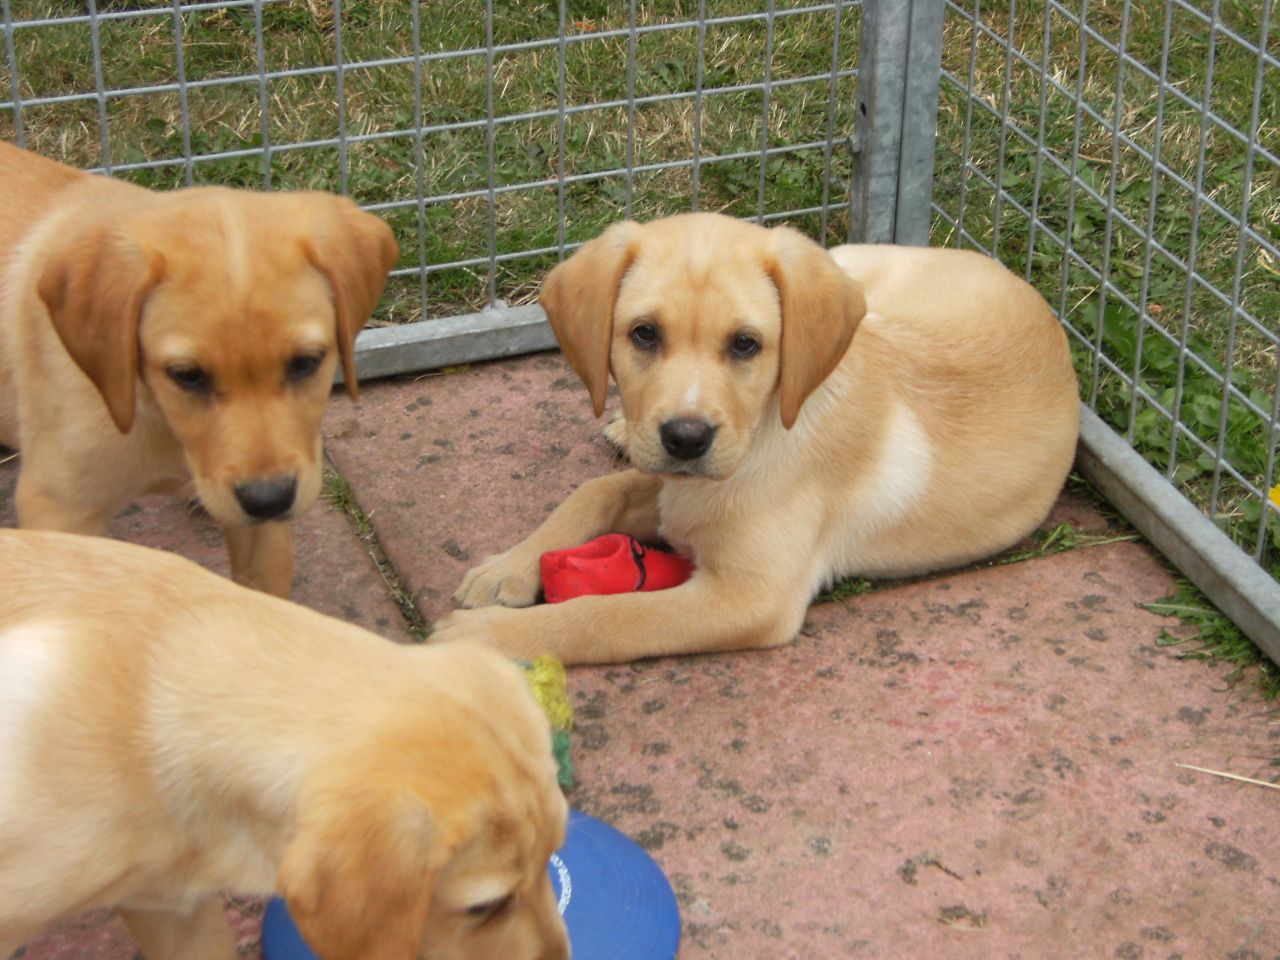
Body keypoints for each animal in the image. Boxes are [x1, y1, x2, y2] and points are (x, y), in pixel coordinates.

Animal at [0, 142, 396, 599]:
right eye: (187, 375)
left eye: (306, 362)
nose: (268, 499)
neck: (163, 423)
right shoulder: (58, 507)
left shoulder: (263, 522)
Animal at [437, 216, 1080, 670]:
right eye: (644, 334)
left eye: (746, 344)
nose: (686, 438)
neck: (763, 433)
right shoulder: (673, 486)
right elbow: (596, 491)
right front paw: (507, 570)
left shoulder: (750, 598)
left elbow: (611, 616)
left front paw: (488, 638)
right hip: (850, 270)